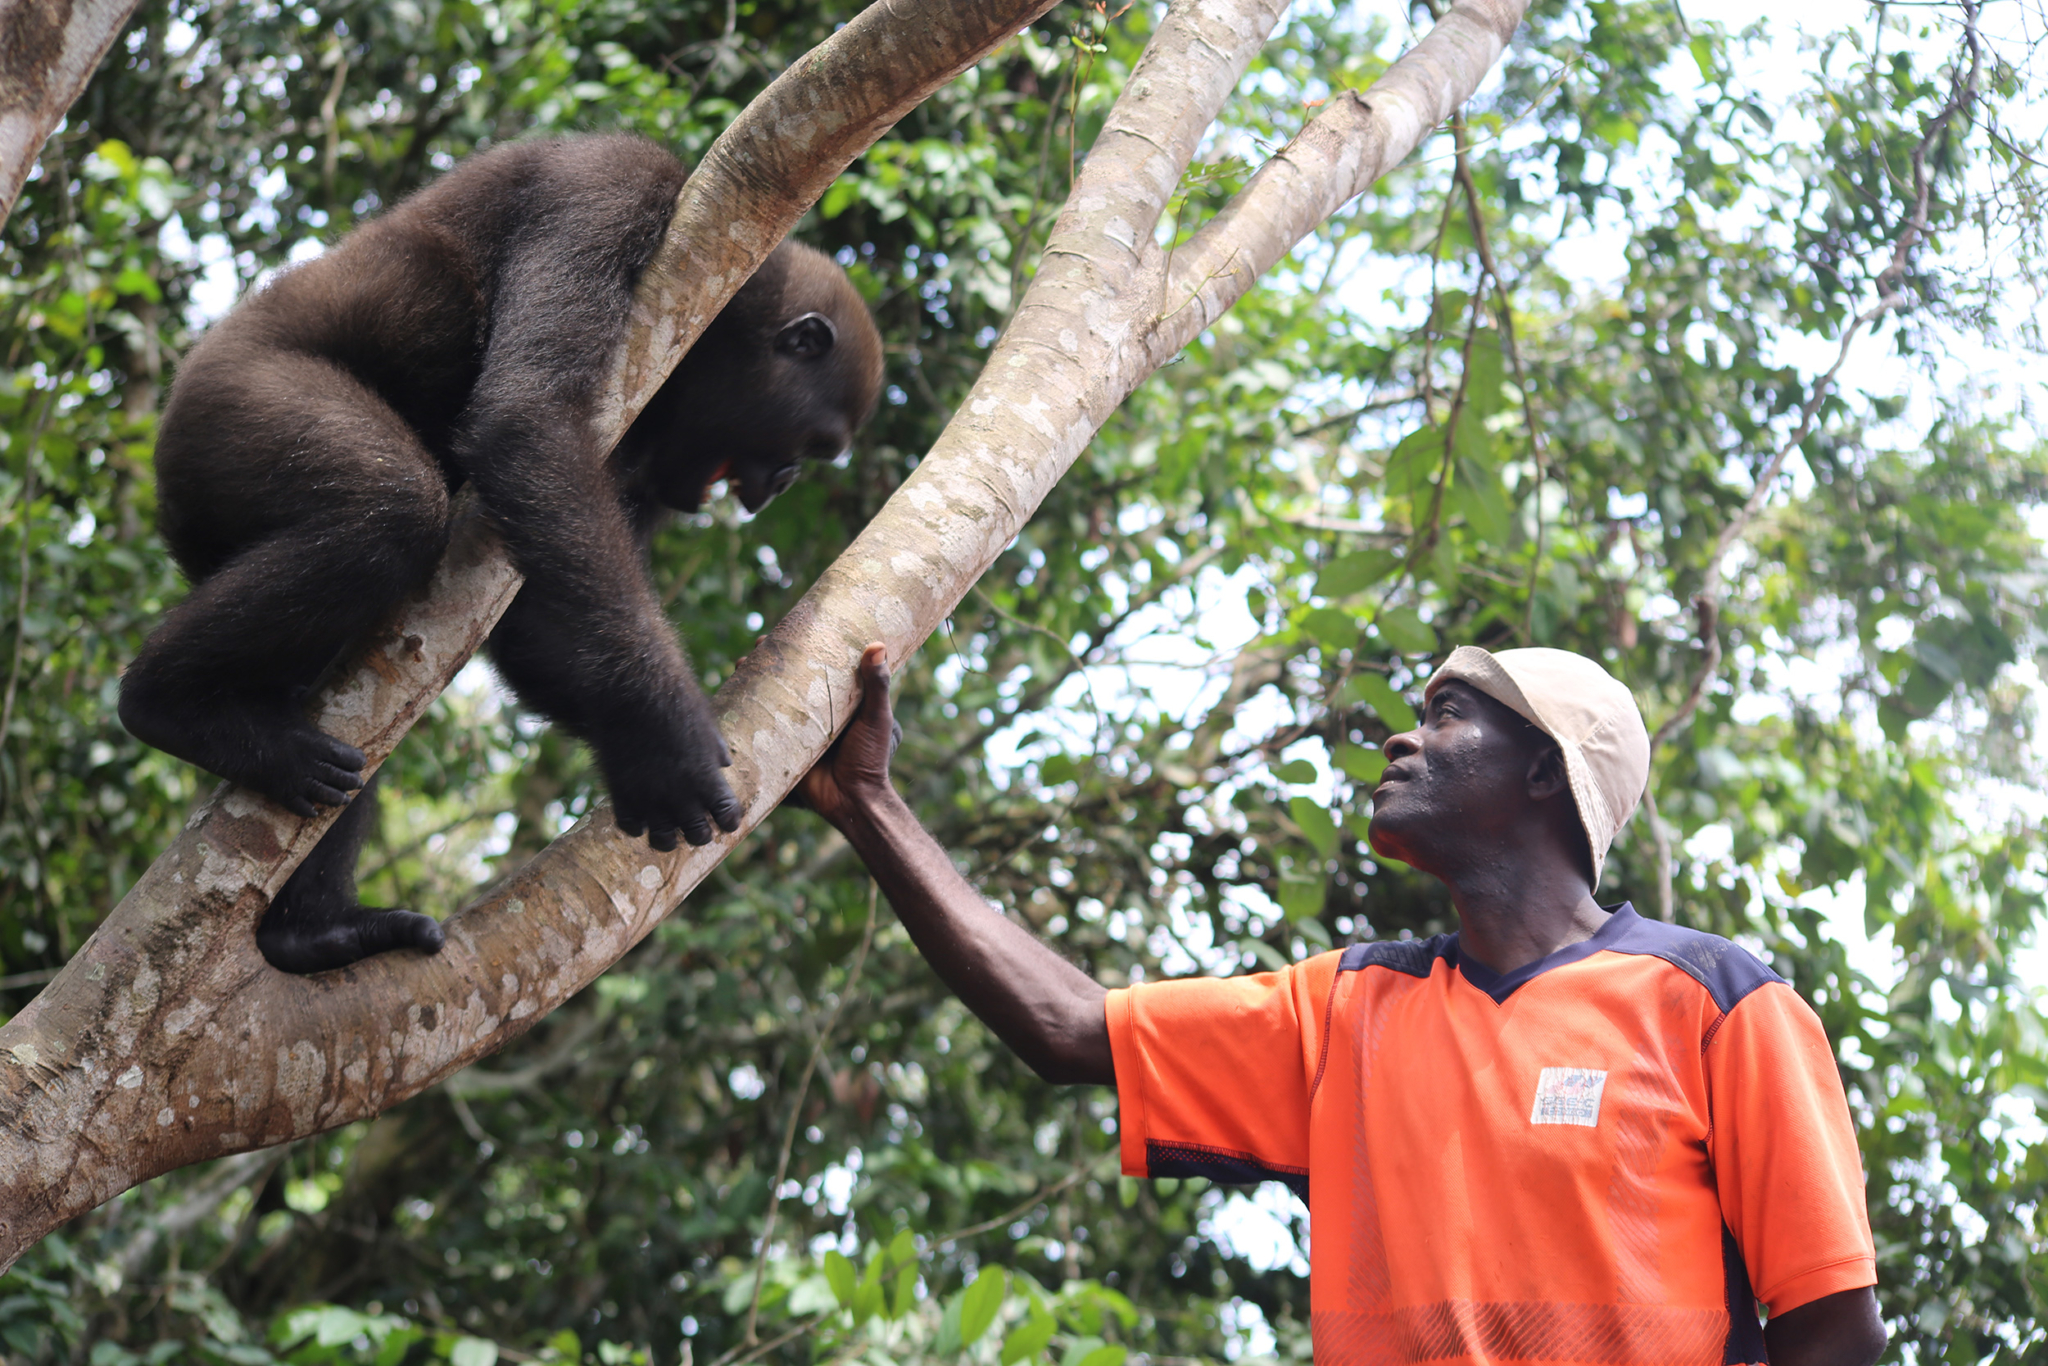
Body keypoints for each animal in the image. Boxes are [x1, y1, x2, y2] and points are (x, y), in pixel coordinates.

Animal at [117, 135, 884, 976]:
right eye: (814, 447)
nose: (779, 487)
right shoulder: (612, 188)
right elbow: (527, 420)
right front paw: (665, 731)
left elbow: (540, 618)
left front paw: (632, 747)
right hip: (223, 414)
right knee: (386, 512)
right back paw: (168, 704)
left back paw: (311, 929)